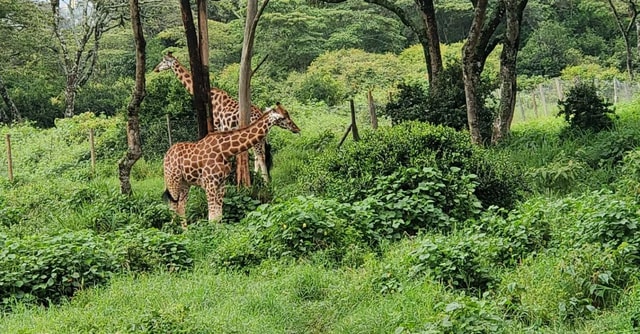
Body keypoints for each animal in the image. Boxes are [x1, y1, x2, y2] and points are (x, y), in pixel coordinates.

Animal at [154, 53, 278, 181]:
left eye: (163, 61)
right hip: (261, 137)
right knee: (260, 156)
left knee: (260, 156)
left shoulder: (217, 126)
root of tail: (261, 113)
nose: (156, 69)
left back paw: (266, 182)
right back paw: (257, 177)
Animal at [161, 104, 298, 224]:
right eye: (284, 117)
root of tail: (166, 155)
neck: (225, 150)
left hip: (185, 184)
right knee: (173, 206)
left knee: (180, 207)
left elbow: (218, 215)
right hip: (173, 180)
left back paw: (185, 232)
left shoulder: (221, 184)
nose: (297, 128)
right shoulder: (209, 184)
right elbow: (211, 217)